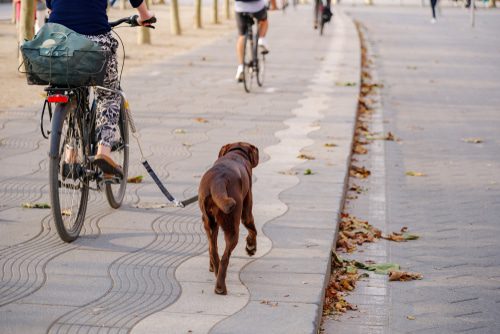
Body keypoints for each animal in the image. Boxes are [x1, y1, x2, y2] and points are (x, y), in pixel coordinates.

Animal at [198, 142, 260, 294]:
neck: (236, 153)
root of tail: (218, 180)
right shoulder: (247, 210)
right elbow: (253, 229)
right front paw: (251, 247)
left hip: (209, 223)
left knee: (213, 250)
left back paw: (215, 270)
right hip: (232, 226)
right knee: (225, 257)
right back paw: (220, 287)